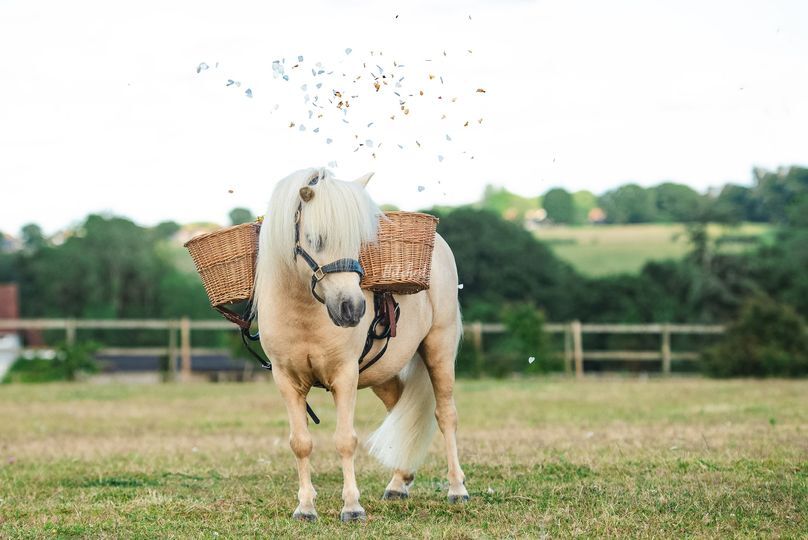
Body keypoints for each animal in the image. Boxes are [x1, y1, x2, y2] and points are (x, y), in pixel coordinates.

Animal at [252, 167, 468, 522]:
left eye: (358, 242)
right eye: (316, 239)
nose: (352, 308)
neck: (303, 313)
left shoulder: (345, 376)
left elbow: (345, 440)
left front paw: (352, 507)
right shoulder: (286, 380)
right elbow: (300, 443)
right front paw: (305, 508)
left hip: (440, 348)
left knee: (446, 414)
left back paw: (457, 489)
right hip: (382, 371)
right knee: (398, 408)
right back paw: (398, 483)